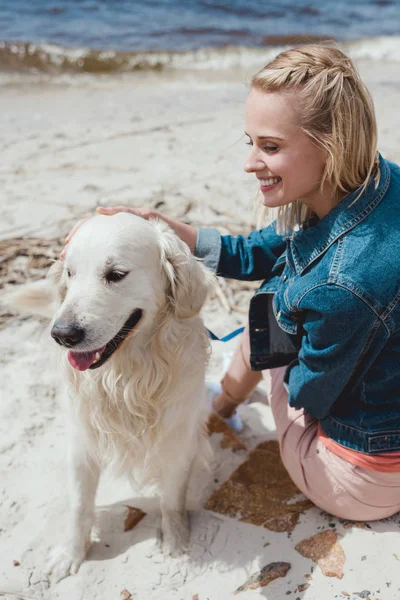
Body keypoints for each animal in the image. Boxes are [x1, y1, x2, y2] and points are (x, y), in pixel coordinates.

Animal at [8, 214, 212, 580]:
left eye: (116, 274)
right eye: (70, 273)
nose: (62, 334)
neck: (125, 380)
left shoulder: (179, 439)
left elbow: (172, 497)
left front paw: (175, 538)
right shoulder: (81, 441)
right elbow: (79, 504)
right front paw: (71, 553)